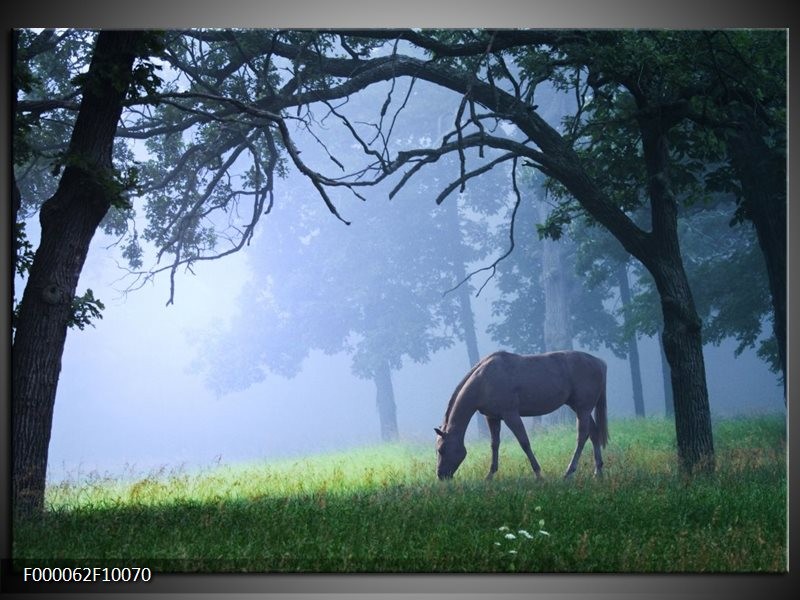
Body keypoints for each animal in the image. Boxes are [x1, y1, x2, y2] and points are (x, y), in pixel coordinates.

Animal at [434, 350, 608, 480]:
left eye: (442, 450)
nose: (441, 475)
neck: (484, 380)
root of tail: (599, 362)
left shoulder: (511, 415)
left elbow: (524, 443)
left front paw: (539, 474)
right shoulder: (492, 418)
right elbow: (494, 444)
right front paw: (490, 475)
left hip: (583, 409)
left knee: (582, 436)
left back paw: (569, 472)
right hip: (579, 408)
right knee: (593, 433)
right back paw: (598, 471)